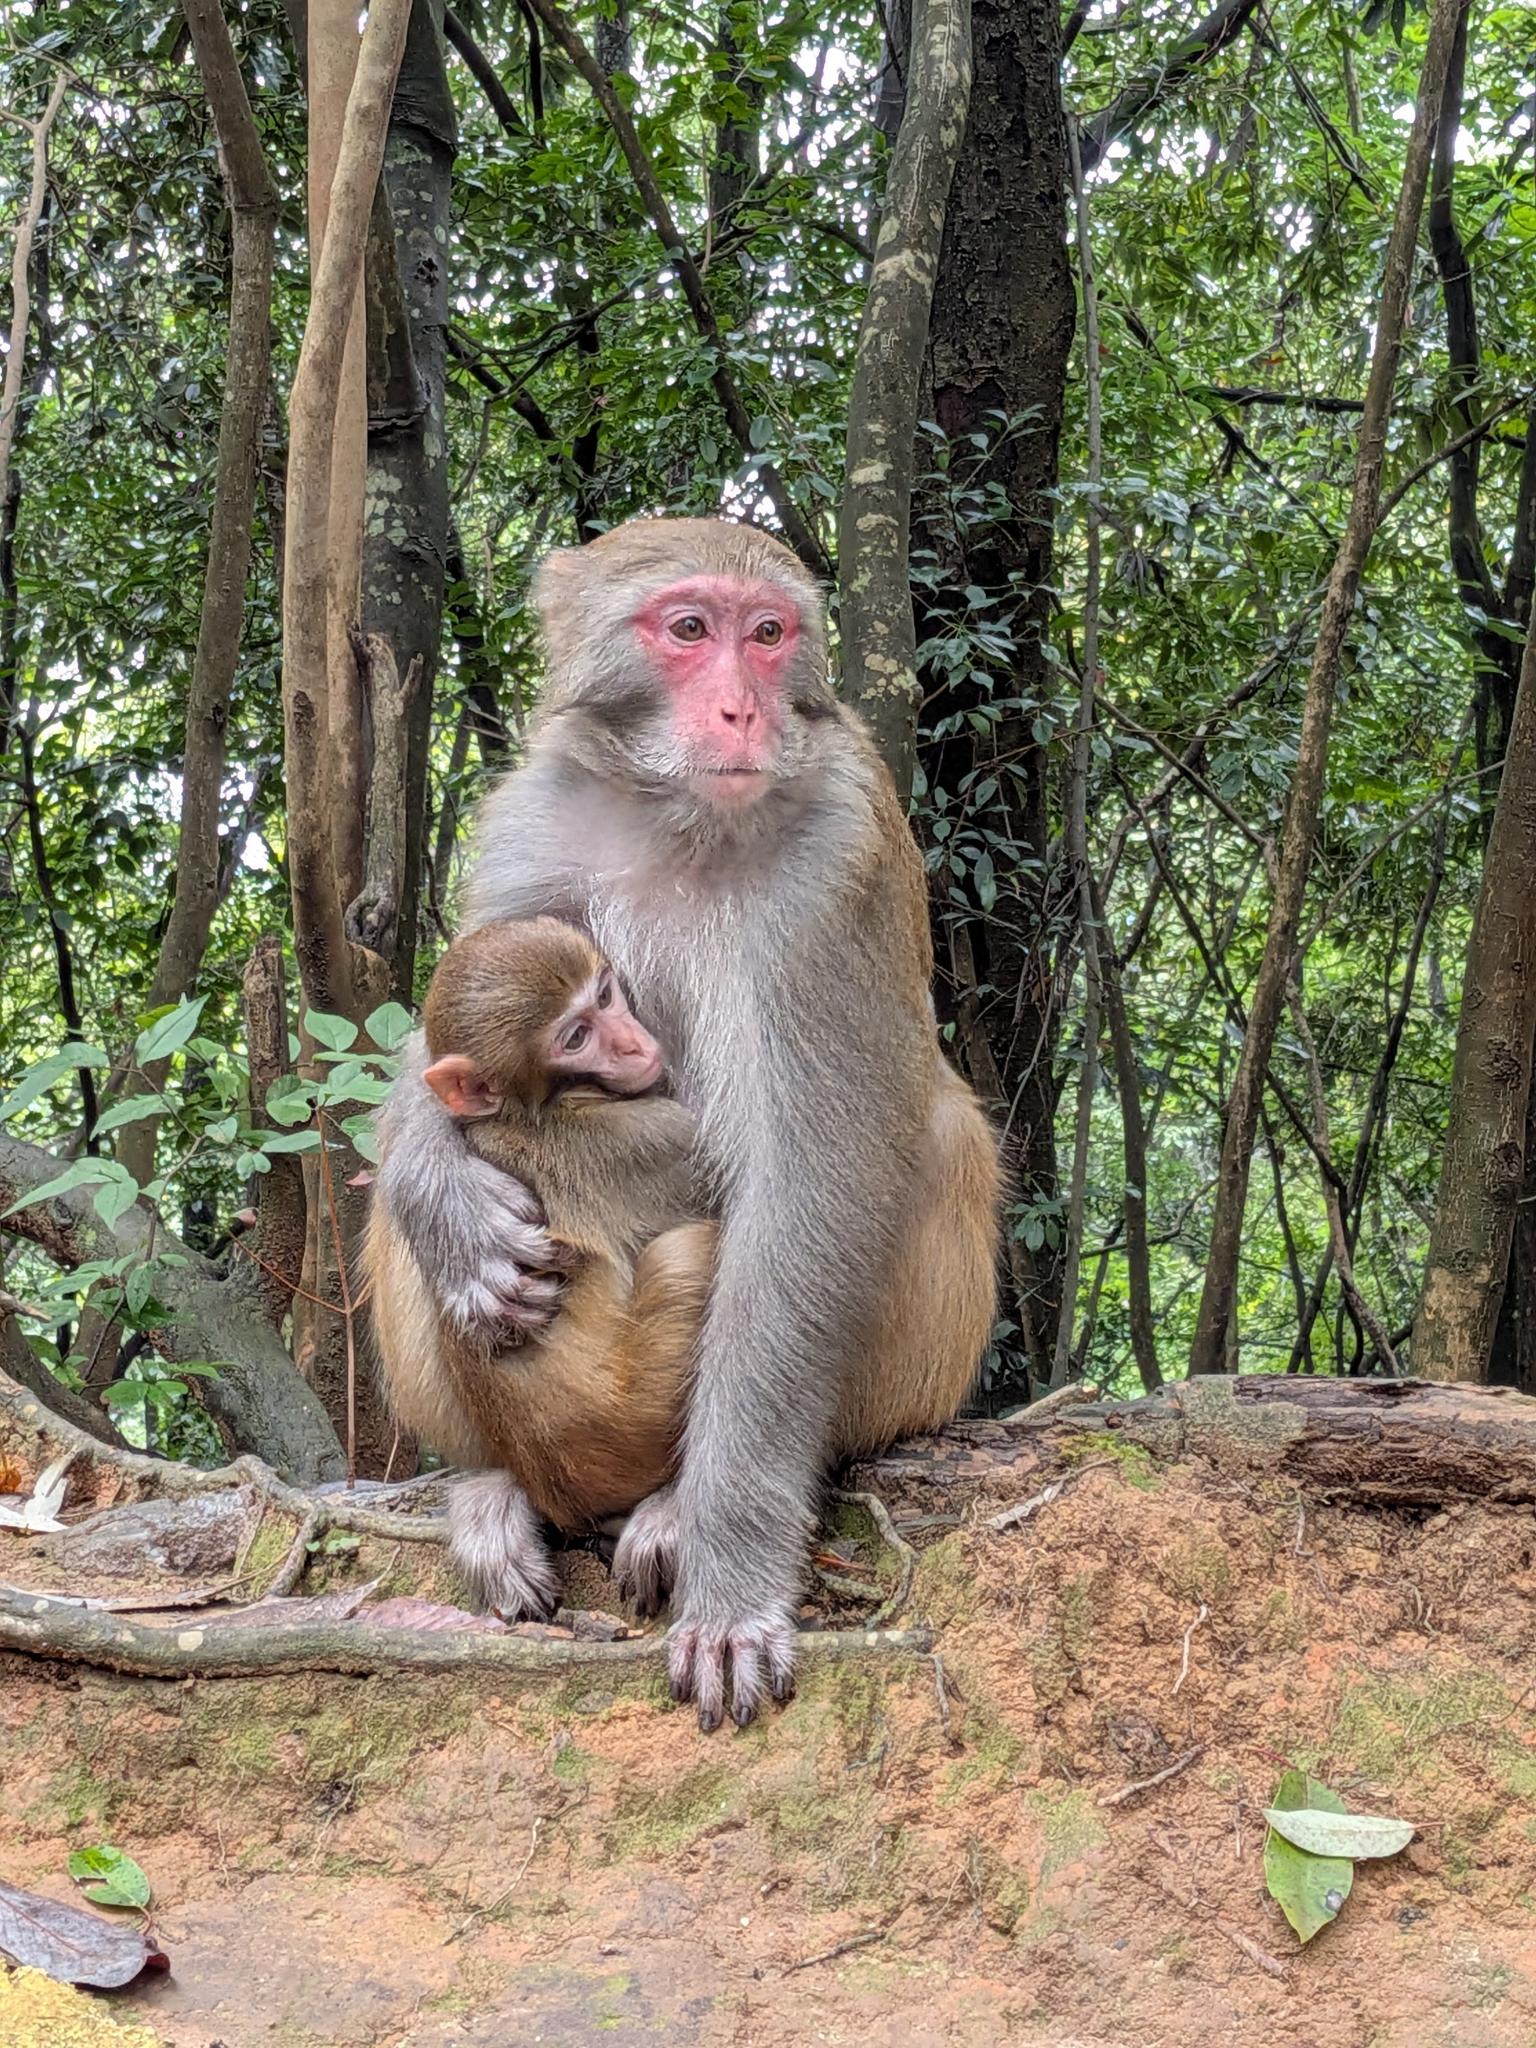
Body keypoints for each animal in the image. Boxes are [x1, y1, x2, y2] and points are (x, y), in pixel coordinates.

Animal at [364, 915, 715, 1551]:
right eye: (575, 1038)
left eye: (605, 996)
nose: (633, 1044)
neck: (532, 1107)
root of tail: (566, 1497)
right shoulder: (651, 1140)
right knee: (687, 1254)